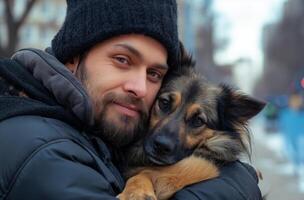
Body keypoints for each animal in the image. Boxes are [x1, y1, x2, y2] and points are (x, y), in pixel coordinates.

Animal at [117, 44, 264, 199]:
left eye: (198, 120)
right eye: (164, 103)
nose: (161, 146)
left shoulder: (204, 166)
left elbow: (148, 172)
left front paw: (136, 192)